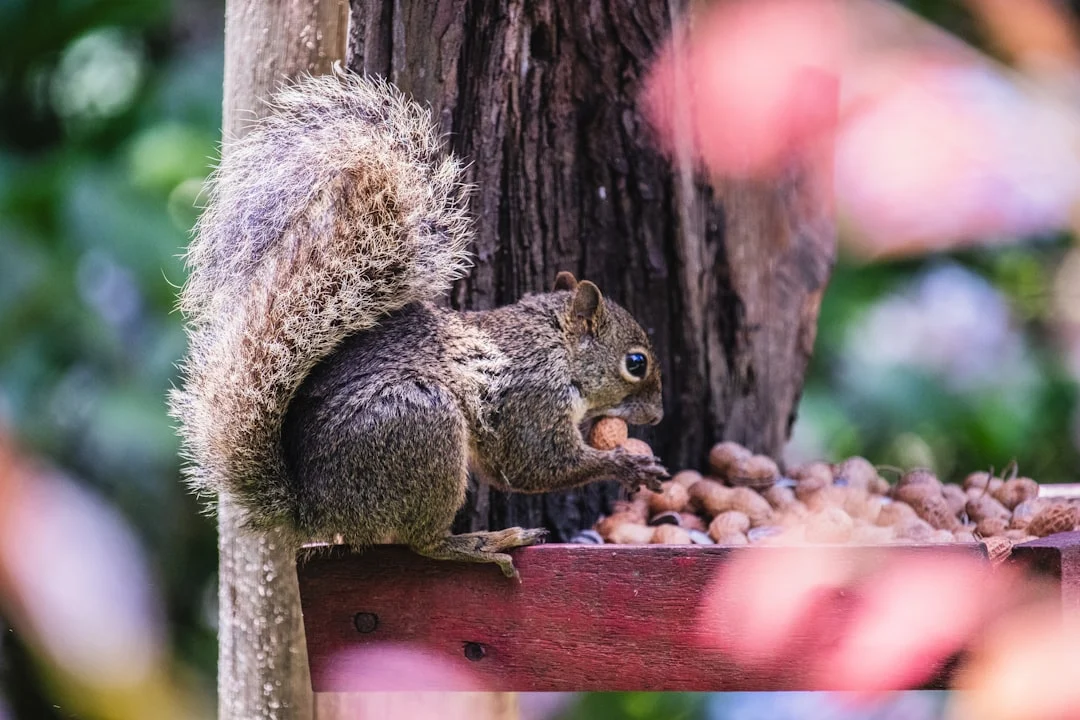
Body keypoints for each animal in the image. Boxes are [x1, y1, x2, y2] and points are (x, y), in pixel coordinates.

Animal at [169, 68, 667, 579]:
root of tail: (313, 508)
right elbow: (533, 464)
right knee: (423, 543)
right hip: (422, 424)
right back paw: (478, 544)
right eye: (636, 363)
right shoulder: (533, 397)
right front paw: (625, 465)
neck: (556, 344)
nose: (657, 415)